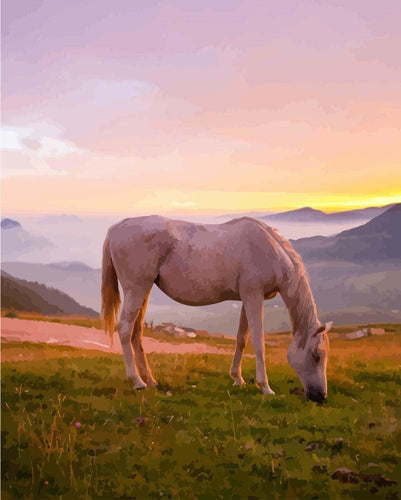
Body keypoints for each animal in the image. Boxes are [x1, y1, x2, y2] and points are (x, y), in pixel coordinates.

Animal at [101, 215, 332, 402]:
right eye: (316, 356)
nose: (321, 397)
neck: (270, 251)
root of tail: (114, 228)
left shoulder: (247, 299)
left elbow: (242, 338)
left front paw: (237, 378)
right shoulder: (254, 296)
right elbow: (258, 342)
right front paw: (265, 387)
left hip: (144, 290)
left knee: (136, 332)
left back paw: (150, 380)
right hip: (136, 289)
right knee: (125, 329)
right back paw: (137, 381)